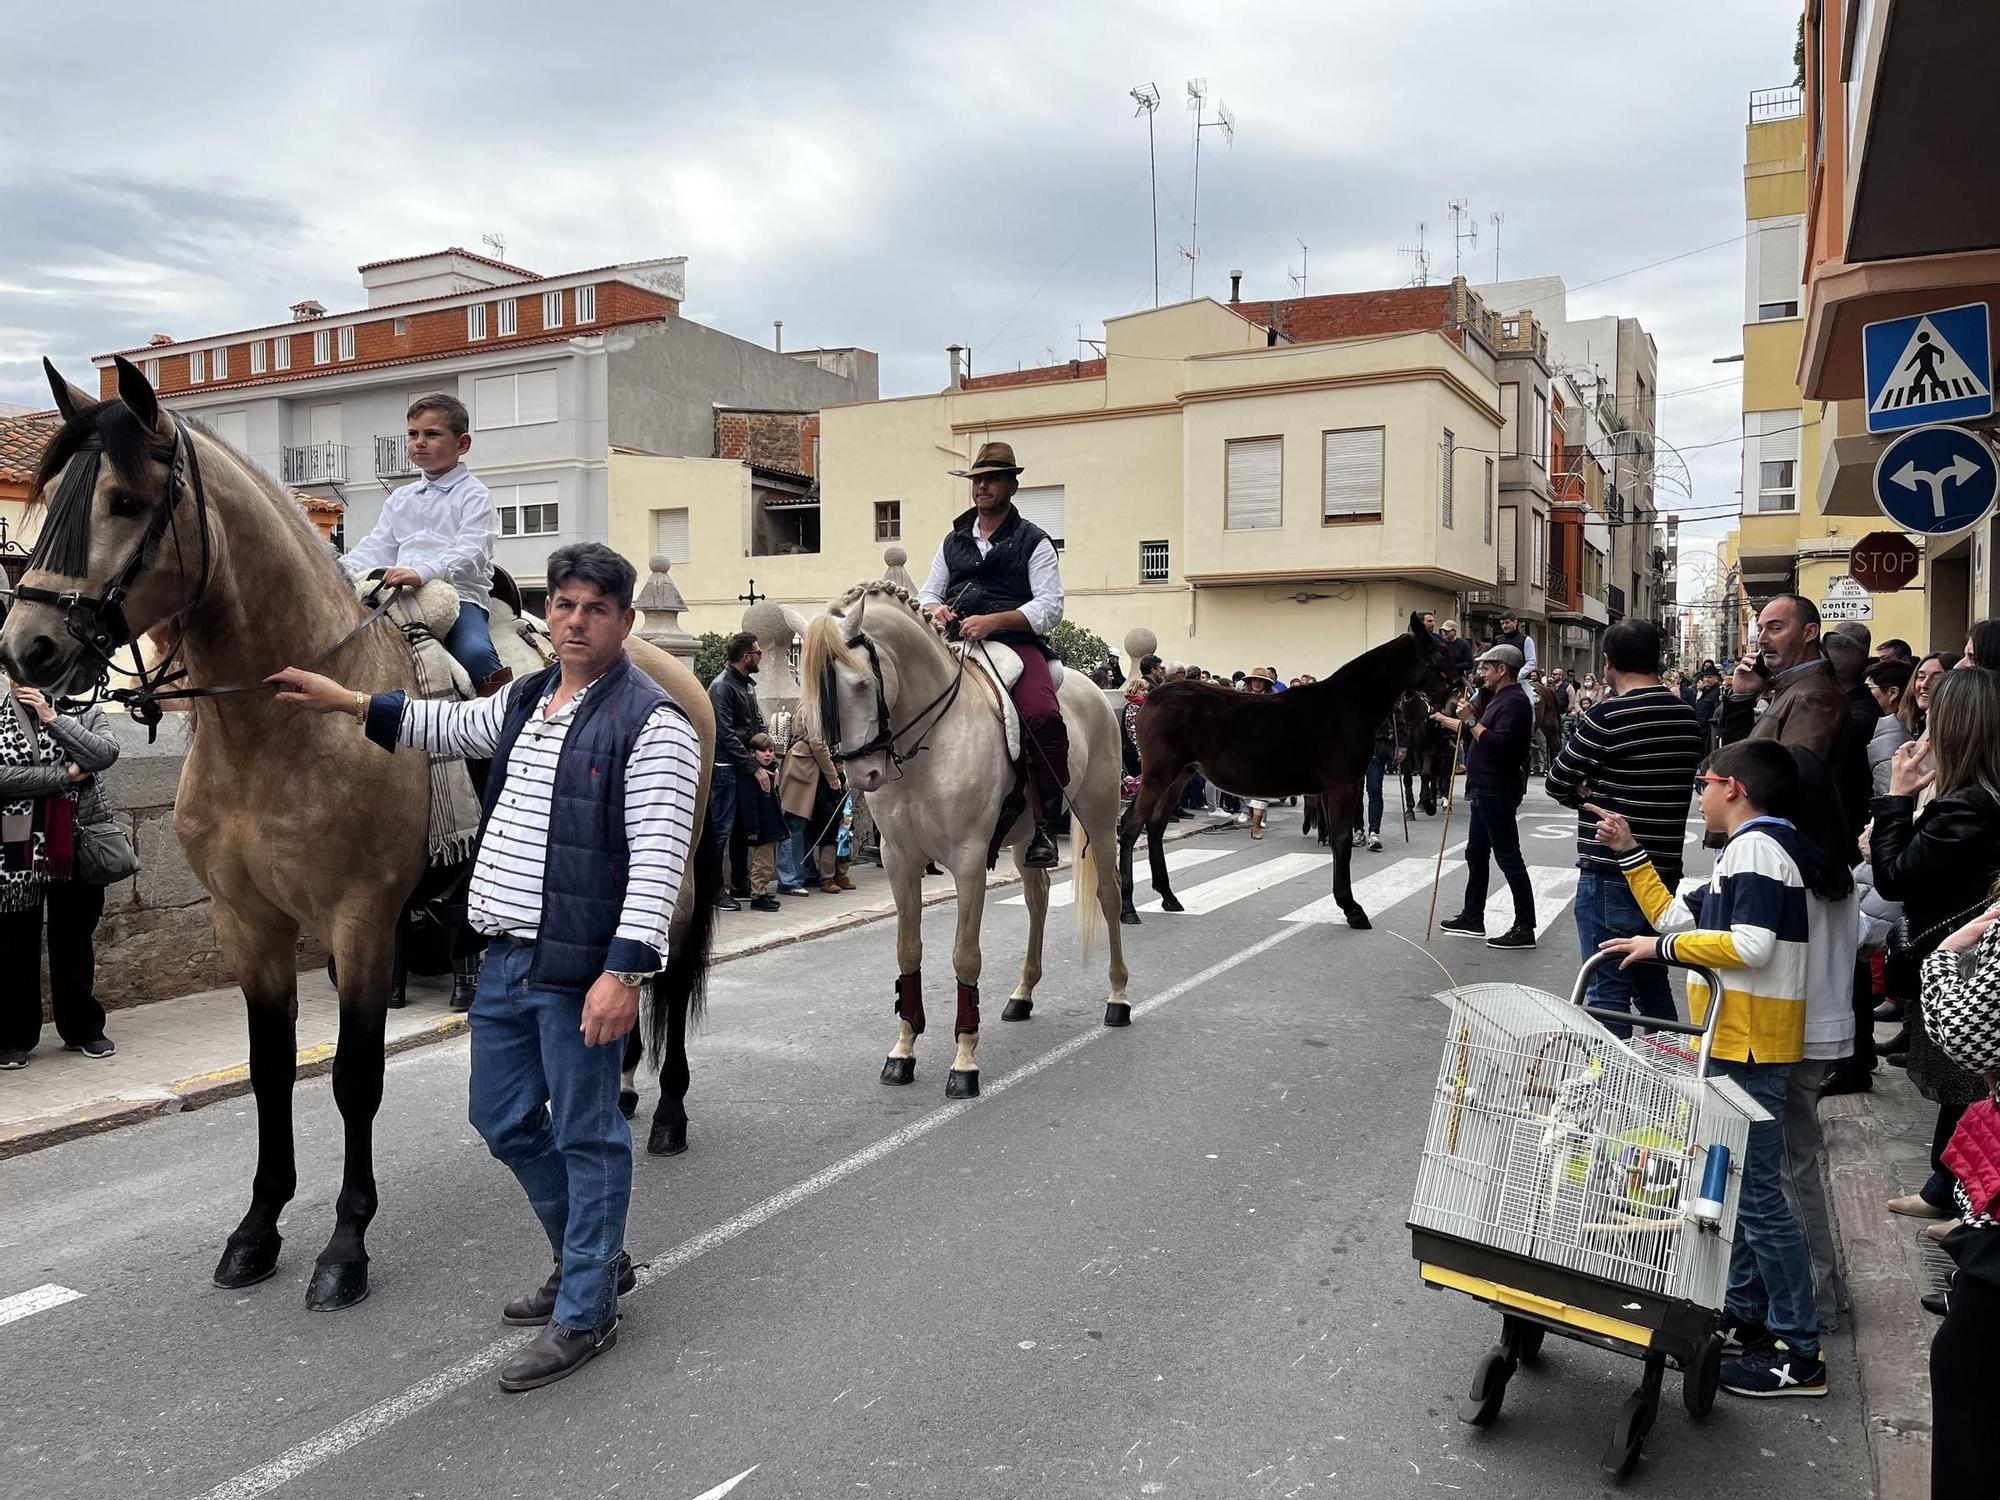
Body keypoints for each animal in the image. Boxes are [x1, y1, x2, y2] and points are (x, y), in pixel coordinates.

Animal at [0, 358, 720, 1312]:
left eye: (122, 500)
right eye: (47, 505)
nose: (27, 648)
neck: (276, 732)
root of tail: (679, 671)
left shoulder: (362, 923)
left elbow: (353, 1080)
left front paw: (345, 1246)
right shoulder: (249, 925)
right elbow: (271, 1072)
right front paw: (257, 1230)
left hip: (673, 881)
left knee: (664, 981)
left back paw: (667, 1110)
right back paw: (626, 1091)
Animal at [800, 580, 1136, 1096]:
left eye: (859, 684)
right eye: (818, 693)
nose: (862, 776)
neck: (928, 745)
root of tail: (1097, 692)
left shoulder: (968, 861)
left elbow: (965, 957)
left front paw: (964, 1061)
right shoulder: (900, 860)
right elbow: (908, 951)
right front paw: (903, 1051)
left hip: (1098, 818)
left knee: (1109, 894)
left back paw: (1117, 997)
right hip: (1025, 838)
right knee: (1038, 899)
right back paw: (1023, 994)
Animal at [1128, 612, 1456, 928]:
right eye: (1439, 656)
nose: (1456, 700)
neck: (1349, 703)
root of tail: (1150, 698)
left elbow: (1336, 838)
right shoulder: (1343, 785)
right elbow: (1341, 840)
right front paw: (1351, 909)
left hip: (1180, 775)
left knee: (1155, 825)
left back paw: (1168, 897)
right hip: (1158, 774)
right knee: (1131, 825)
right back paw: (1128, 908)